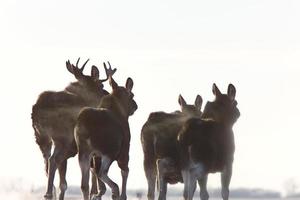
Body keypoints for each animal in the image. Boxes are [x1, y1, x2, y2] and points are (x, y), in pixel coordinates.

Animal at [31, 58, 116, 200]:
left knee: (47, 163)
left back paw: (49, 193)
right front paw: (97, 192)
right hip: (62, 140)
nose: (108, 95)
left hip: (42, 139)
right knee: (53, 160)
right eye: (101, 86)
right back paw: (49, 193)